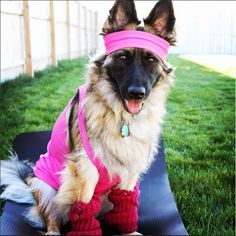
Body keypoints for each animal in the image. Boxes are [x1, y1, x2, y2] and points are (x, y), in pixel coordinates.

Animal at [0, 0, 176, 233]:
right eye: (122, 58)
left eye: (150, 60)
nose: (136, 93)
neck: (121, 117)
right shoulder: (85, 172)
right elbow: (83, 208)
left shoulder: (130, 171)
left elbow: (126, 202)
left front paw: (128, 231)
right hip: (44, 186)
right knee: (51, 217)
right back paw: (53, 231)